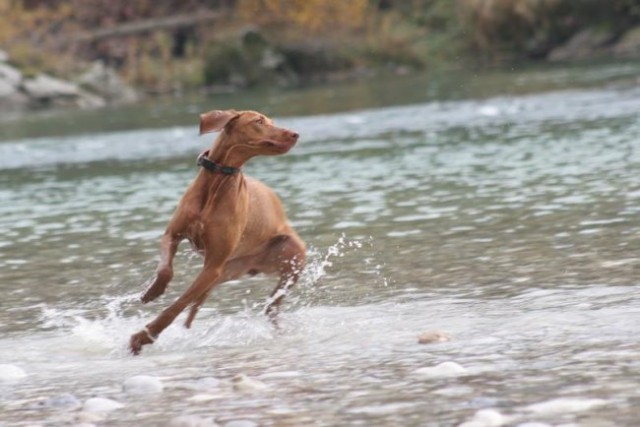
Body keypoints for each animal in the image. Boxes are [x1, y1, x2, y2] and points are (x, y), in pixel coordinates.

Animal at [129, 109, 304, 354]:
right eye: (259, 121)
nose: (295, 134)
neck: (218, 179)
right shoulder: (172, 235)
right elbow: (165, 270)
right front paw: (152, 292)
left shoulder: (212, 267)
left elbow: (178, 304)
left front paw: (144, 336)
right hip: (226, 272)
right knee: (196, 307)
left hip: (291, 258)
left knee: (270, 306)